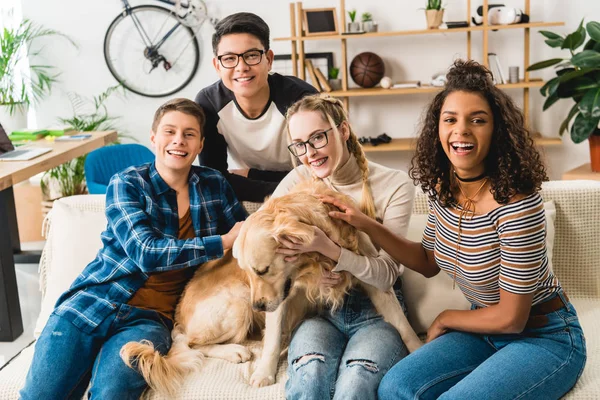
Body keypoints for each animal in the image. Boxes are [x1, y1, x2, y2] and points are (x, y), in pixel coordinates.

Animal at [119, 183, 420, 396]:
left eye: (262, 270)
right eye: (247, 271)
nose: (259, 307)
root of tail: (178, 317)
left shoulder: (374, 277)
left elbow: (403, 324)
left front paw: (418, 349)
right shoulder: (278, 299)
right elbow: (272, 338)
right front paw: (264, 373)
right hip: (238, 303)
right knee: (188, 343)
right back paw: (236, 351)